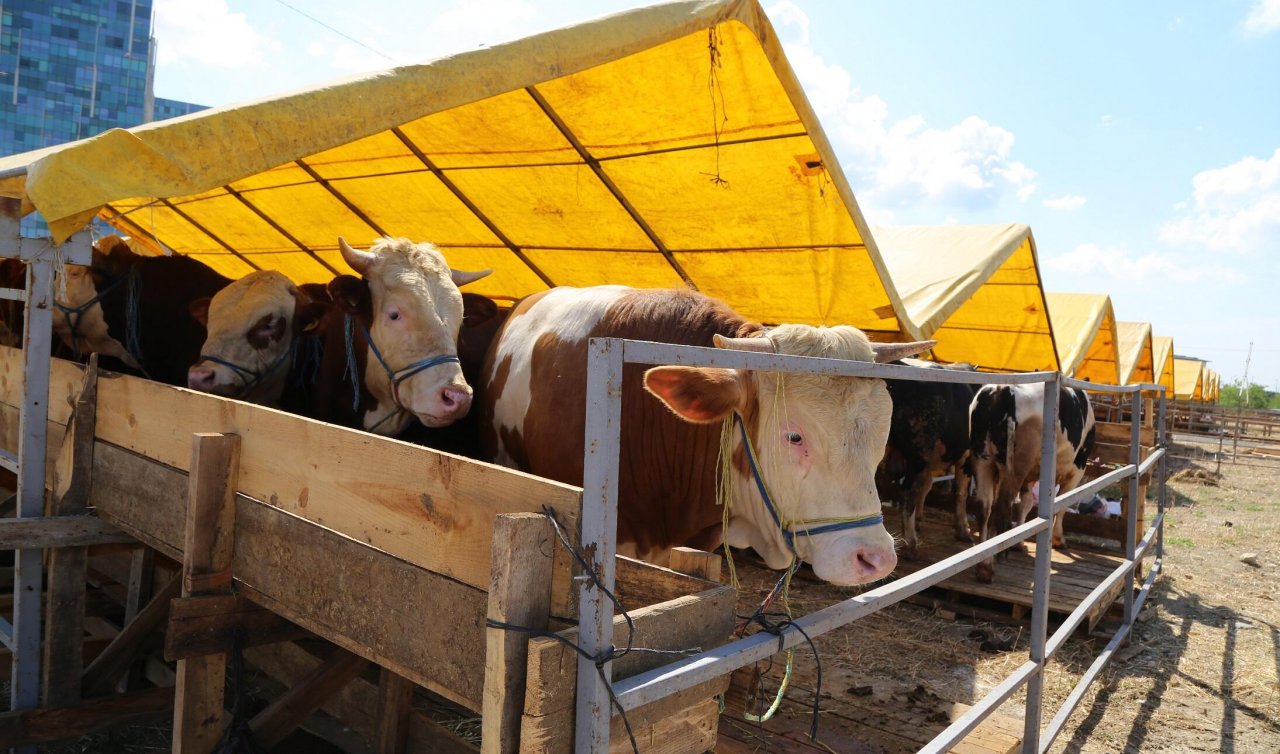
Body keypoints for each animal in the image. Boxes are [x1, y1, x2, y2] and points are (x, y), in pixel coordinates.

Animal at [880, 358, 977, 558]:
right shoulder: (965, 455)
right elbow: (961, 492)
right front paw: (963, 529)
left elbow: (926, 486)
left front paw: (919, 520)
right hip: (919, 451)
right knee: (907, 492)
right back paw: (910, 544)